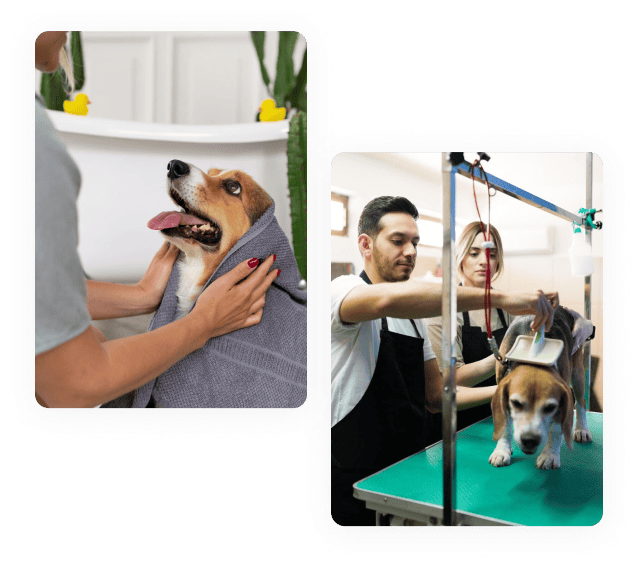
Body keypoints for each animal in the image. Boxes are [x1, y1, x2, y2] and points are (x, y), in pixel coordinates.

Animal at [490, 306, 596, 470]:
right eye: (516, 404)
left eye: (550, 407)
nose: (530, 440)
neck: (534, 359)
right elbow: (504, 424)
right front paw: (502, 450)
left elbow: (556, 430)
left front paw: (550, 455)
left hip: (577, 372)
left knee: (581, 402)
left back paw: (582, 429)